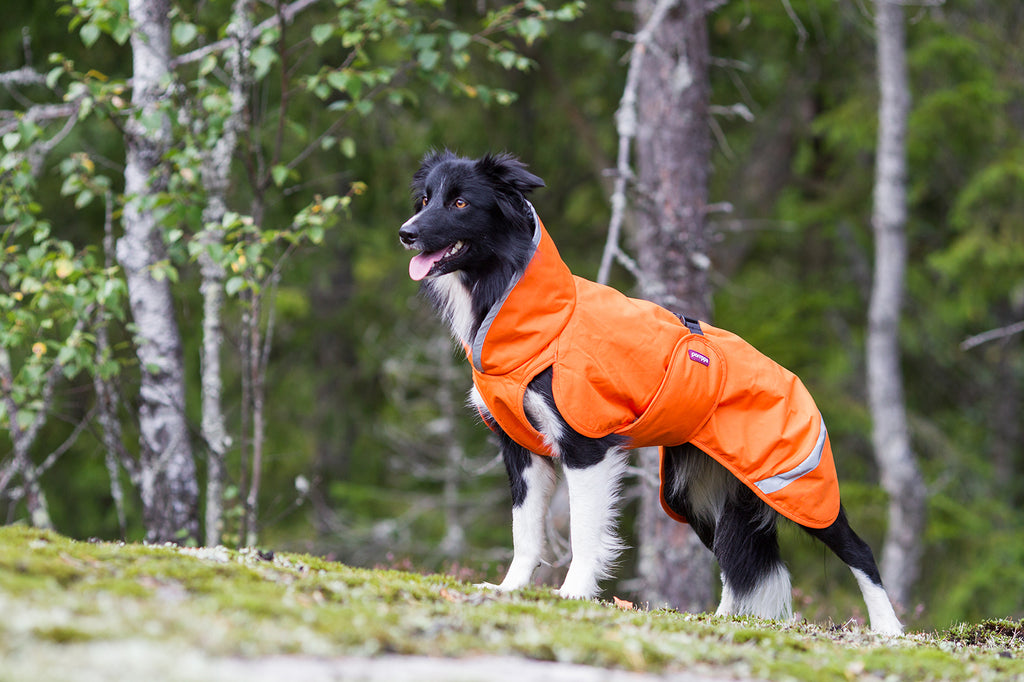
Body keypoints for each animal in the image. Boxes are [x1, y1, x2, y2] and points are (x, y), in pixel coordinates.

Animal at [399, 148, 905, 630]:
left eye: (460, 203)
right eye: (425, 200)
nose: (405, 233)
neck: (530, 313)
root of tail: (795, 382)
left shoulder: (587, 447)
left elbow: (584, 533)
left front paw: (573, 594)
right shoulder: (521, 451)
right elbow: (524, 532)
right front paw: (510, 590)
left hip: (793, 482)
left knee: (857, 549)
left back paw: (888, 628)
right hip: (693, 496)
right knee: (734, 558)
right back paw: (723, 619)